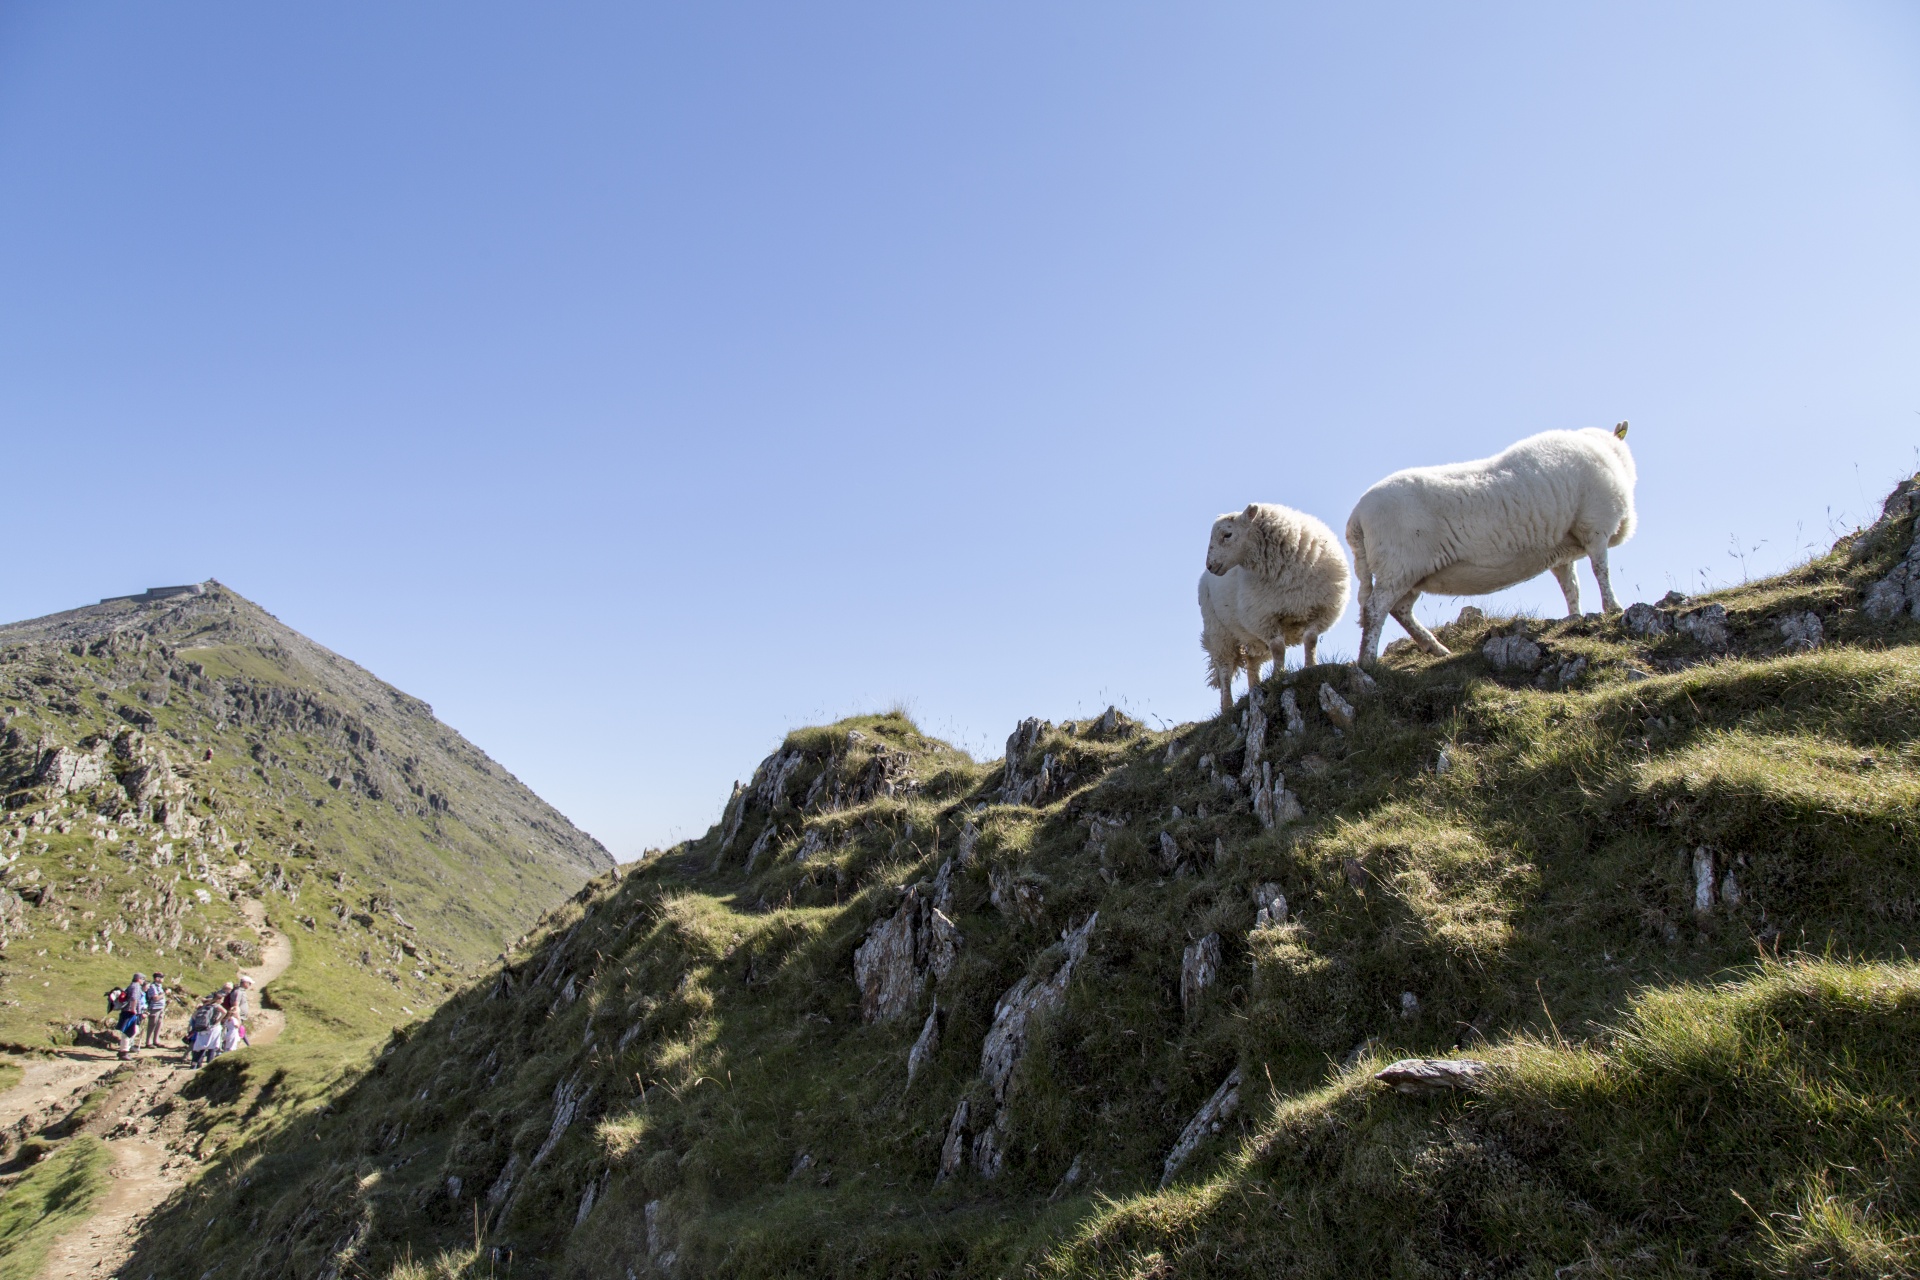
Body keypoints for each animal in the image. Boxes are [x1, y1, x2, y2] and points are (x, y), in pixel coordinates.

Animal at [1198, 502, 1351, 710]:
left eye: (1227, 534)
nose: (1211, 565)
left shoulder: (1321, 610)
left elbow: (1310, 639)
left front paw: (1310, 666)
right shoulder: (1264, 617)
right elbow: (1278, 648)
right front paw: (1279, 675)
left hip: (1250, 636)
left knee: (1252, 662)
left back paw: (1255, 688)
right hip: (1218, 632)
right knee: (1225, 670)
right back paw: (1228, 705)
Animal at [1344, 426, 1643, 667]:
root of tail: (1357, 517)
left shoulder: (1561, 550)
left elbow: (1571, 586)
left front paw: (1575, 616)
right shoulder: (1594, 526)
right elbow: (1601, 570)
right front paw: (1613, 608)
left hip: (1410, 573)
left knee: (1400, 610)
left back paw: (1435, 648)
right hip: (1397, 565)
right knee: (1375, 610)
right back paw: (1368, 660)